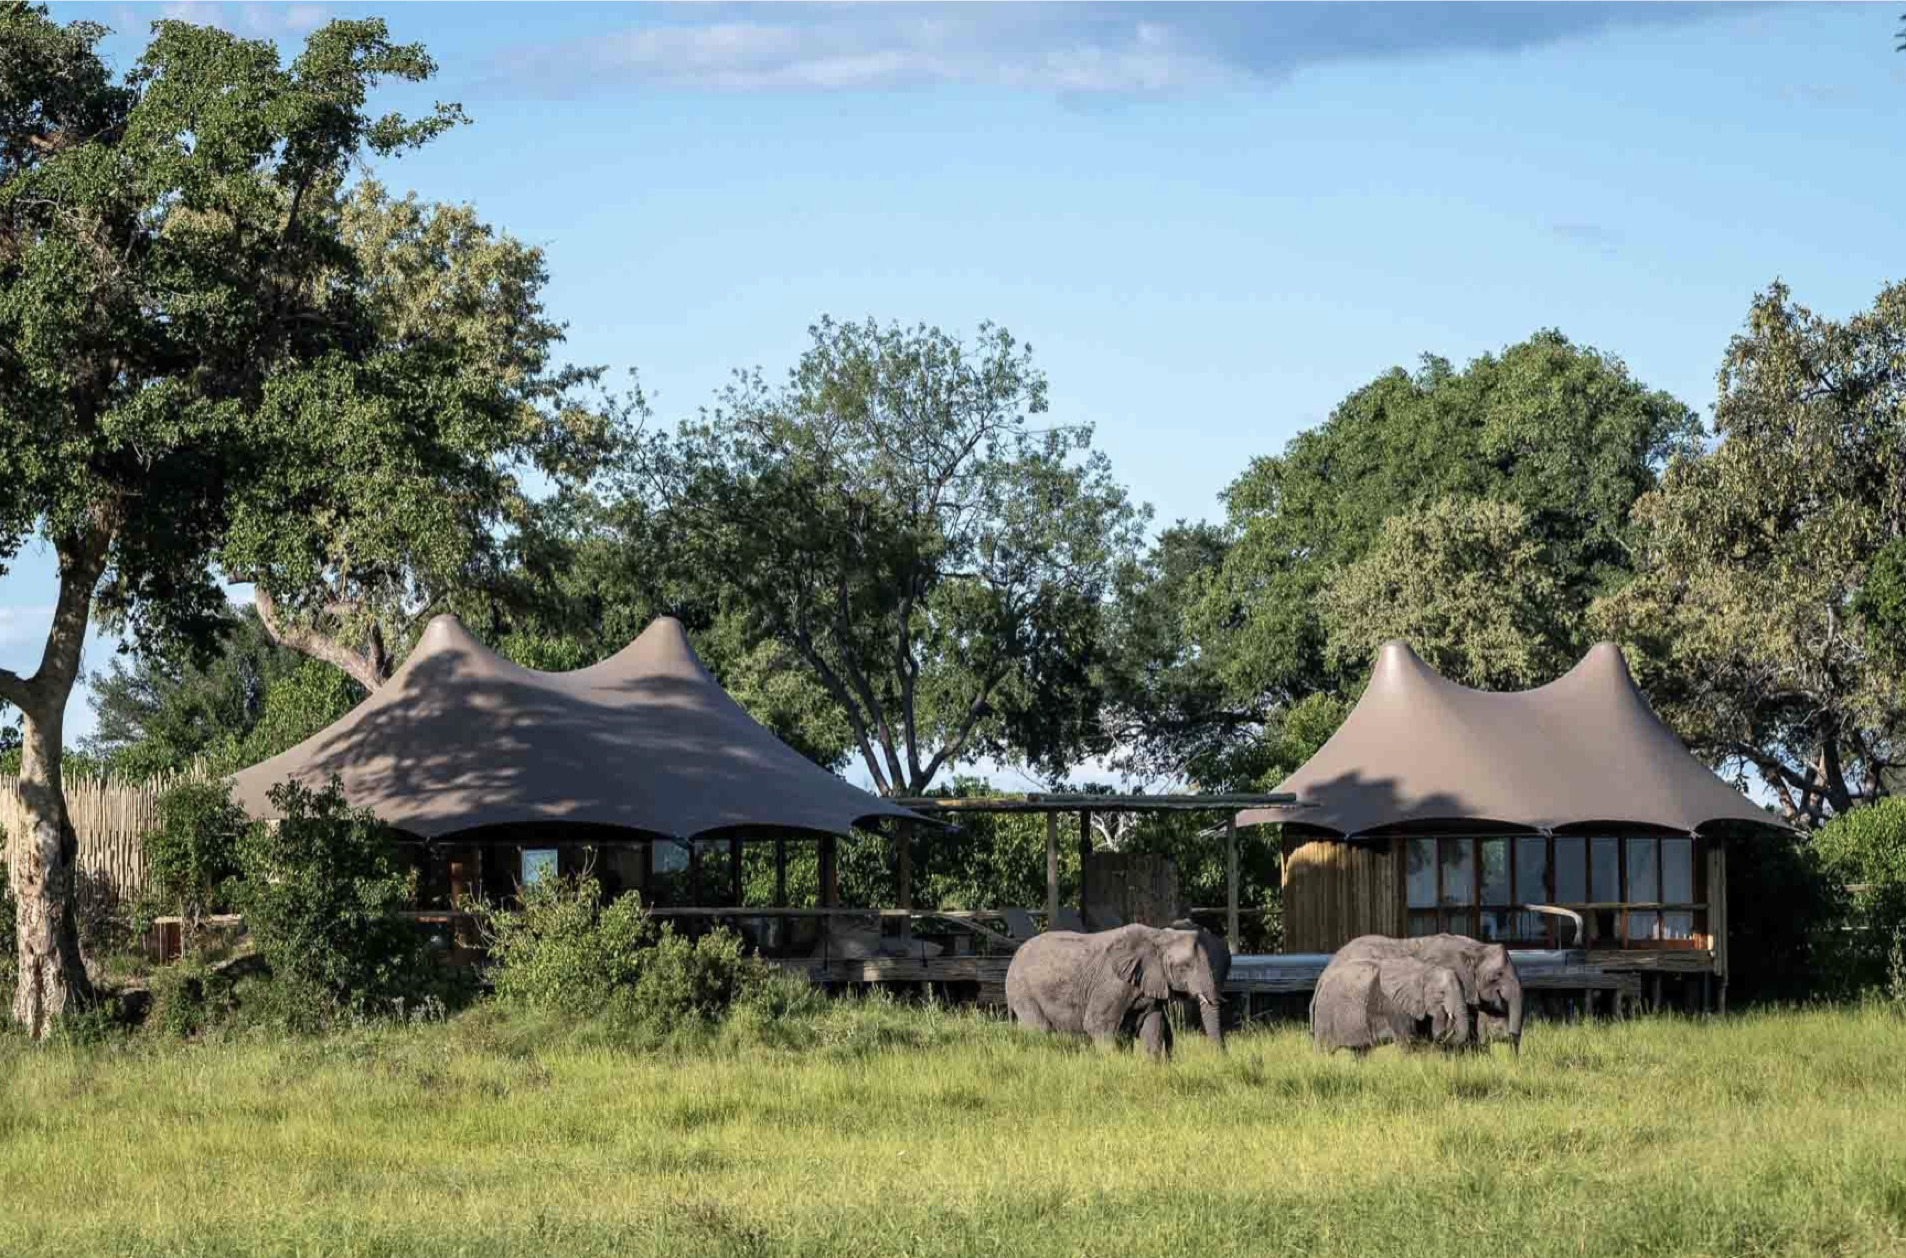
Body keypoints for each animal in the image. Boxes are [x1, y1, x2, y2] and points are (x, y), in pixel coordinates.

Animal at [1005, 923, 1231, 1059]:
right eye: (1184, 967)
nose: (1221, 1058)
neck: (1159, 936)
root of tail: (1013, 957)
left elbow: (1152, 1024)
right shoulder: (1111, 984)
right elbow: (1097, 1024)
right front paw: (1115, 1064)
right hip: (1022, 990)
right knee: (1040, 1029)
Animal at [1310, 957, 1470, 1054]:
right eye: (1442, 993)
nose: (1450, 1017)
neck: (1424, 969)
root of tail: (1321, 981)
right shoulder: (1394, 1006)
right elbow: (1407, 1041)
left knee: (1360, 1052)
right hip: (1325, 1013)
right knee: (1324, 1050)